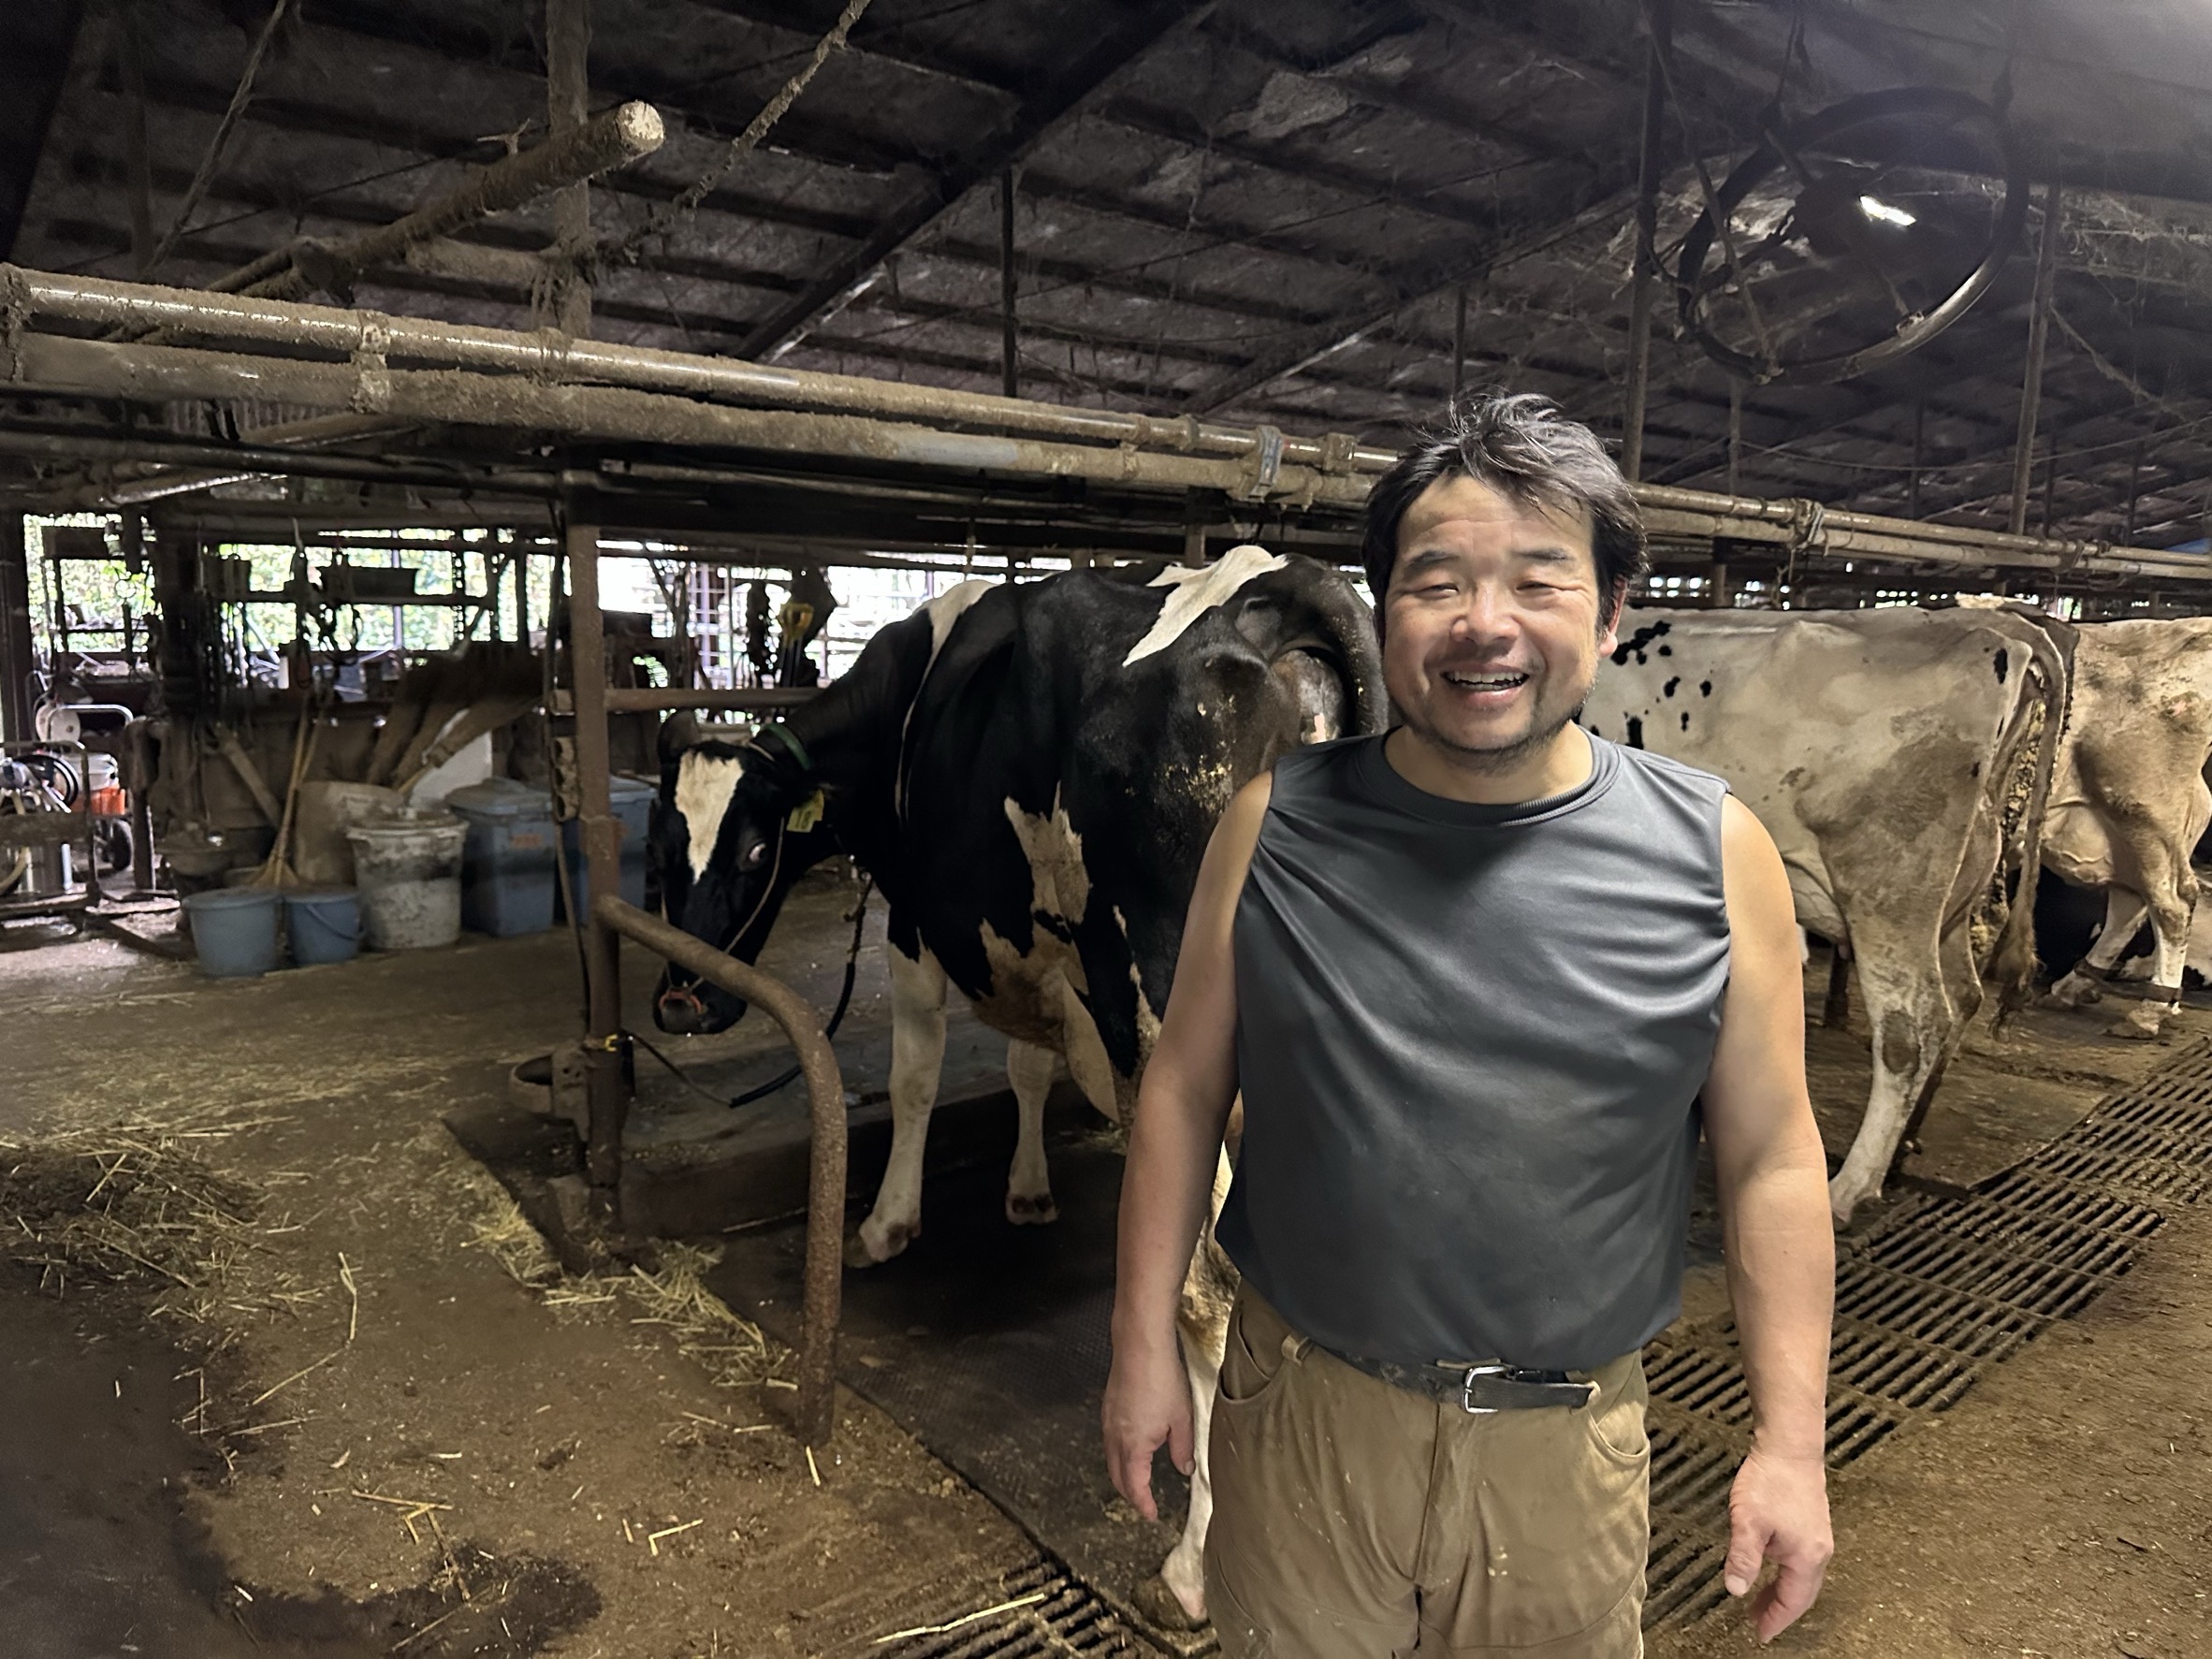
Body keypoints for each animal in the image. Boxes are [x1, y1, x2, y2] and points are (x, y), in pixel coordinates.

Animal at [650, 548, 1386, 1626]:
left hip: (1161, 1008)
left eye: (750, 850)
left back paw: (1191, 1569)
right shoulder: (1042, 948)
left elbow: (916, 1071)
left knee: (1206, 1294)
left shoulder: (918, 921)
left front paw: (886, 1223)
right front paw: (1030, 1190)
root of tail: (1282, 582)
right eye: (660, 849)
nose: (682, 1004)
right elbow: (1029, 1065)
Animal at [1581, 606, 2069, 1223]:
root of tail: (1995, 631)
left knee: (1912, 1029)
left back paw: (1851, 1188)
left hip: (1887, 889)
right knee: (1964, 997)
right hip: (1953, 897)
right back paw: (1902, 1148)